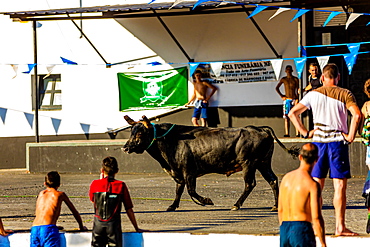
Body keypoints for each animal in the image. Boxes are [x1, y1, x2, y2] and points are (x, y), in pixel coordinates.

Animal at [123, 115, 300, 210]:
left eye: (139, 134)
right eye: (131, 132)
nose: (125, 147)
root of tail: (260, 128)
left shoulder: (189, 171)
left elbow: (191, 191)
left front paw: (206, 201)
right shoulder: (178, 172)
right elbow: (178, 190)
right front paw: (172, 206)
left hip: (249, 163)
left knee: (250, 183)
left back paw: (236, 205)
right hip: (263, 163)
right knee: (273, 180)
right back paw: (275, 206)